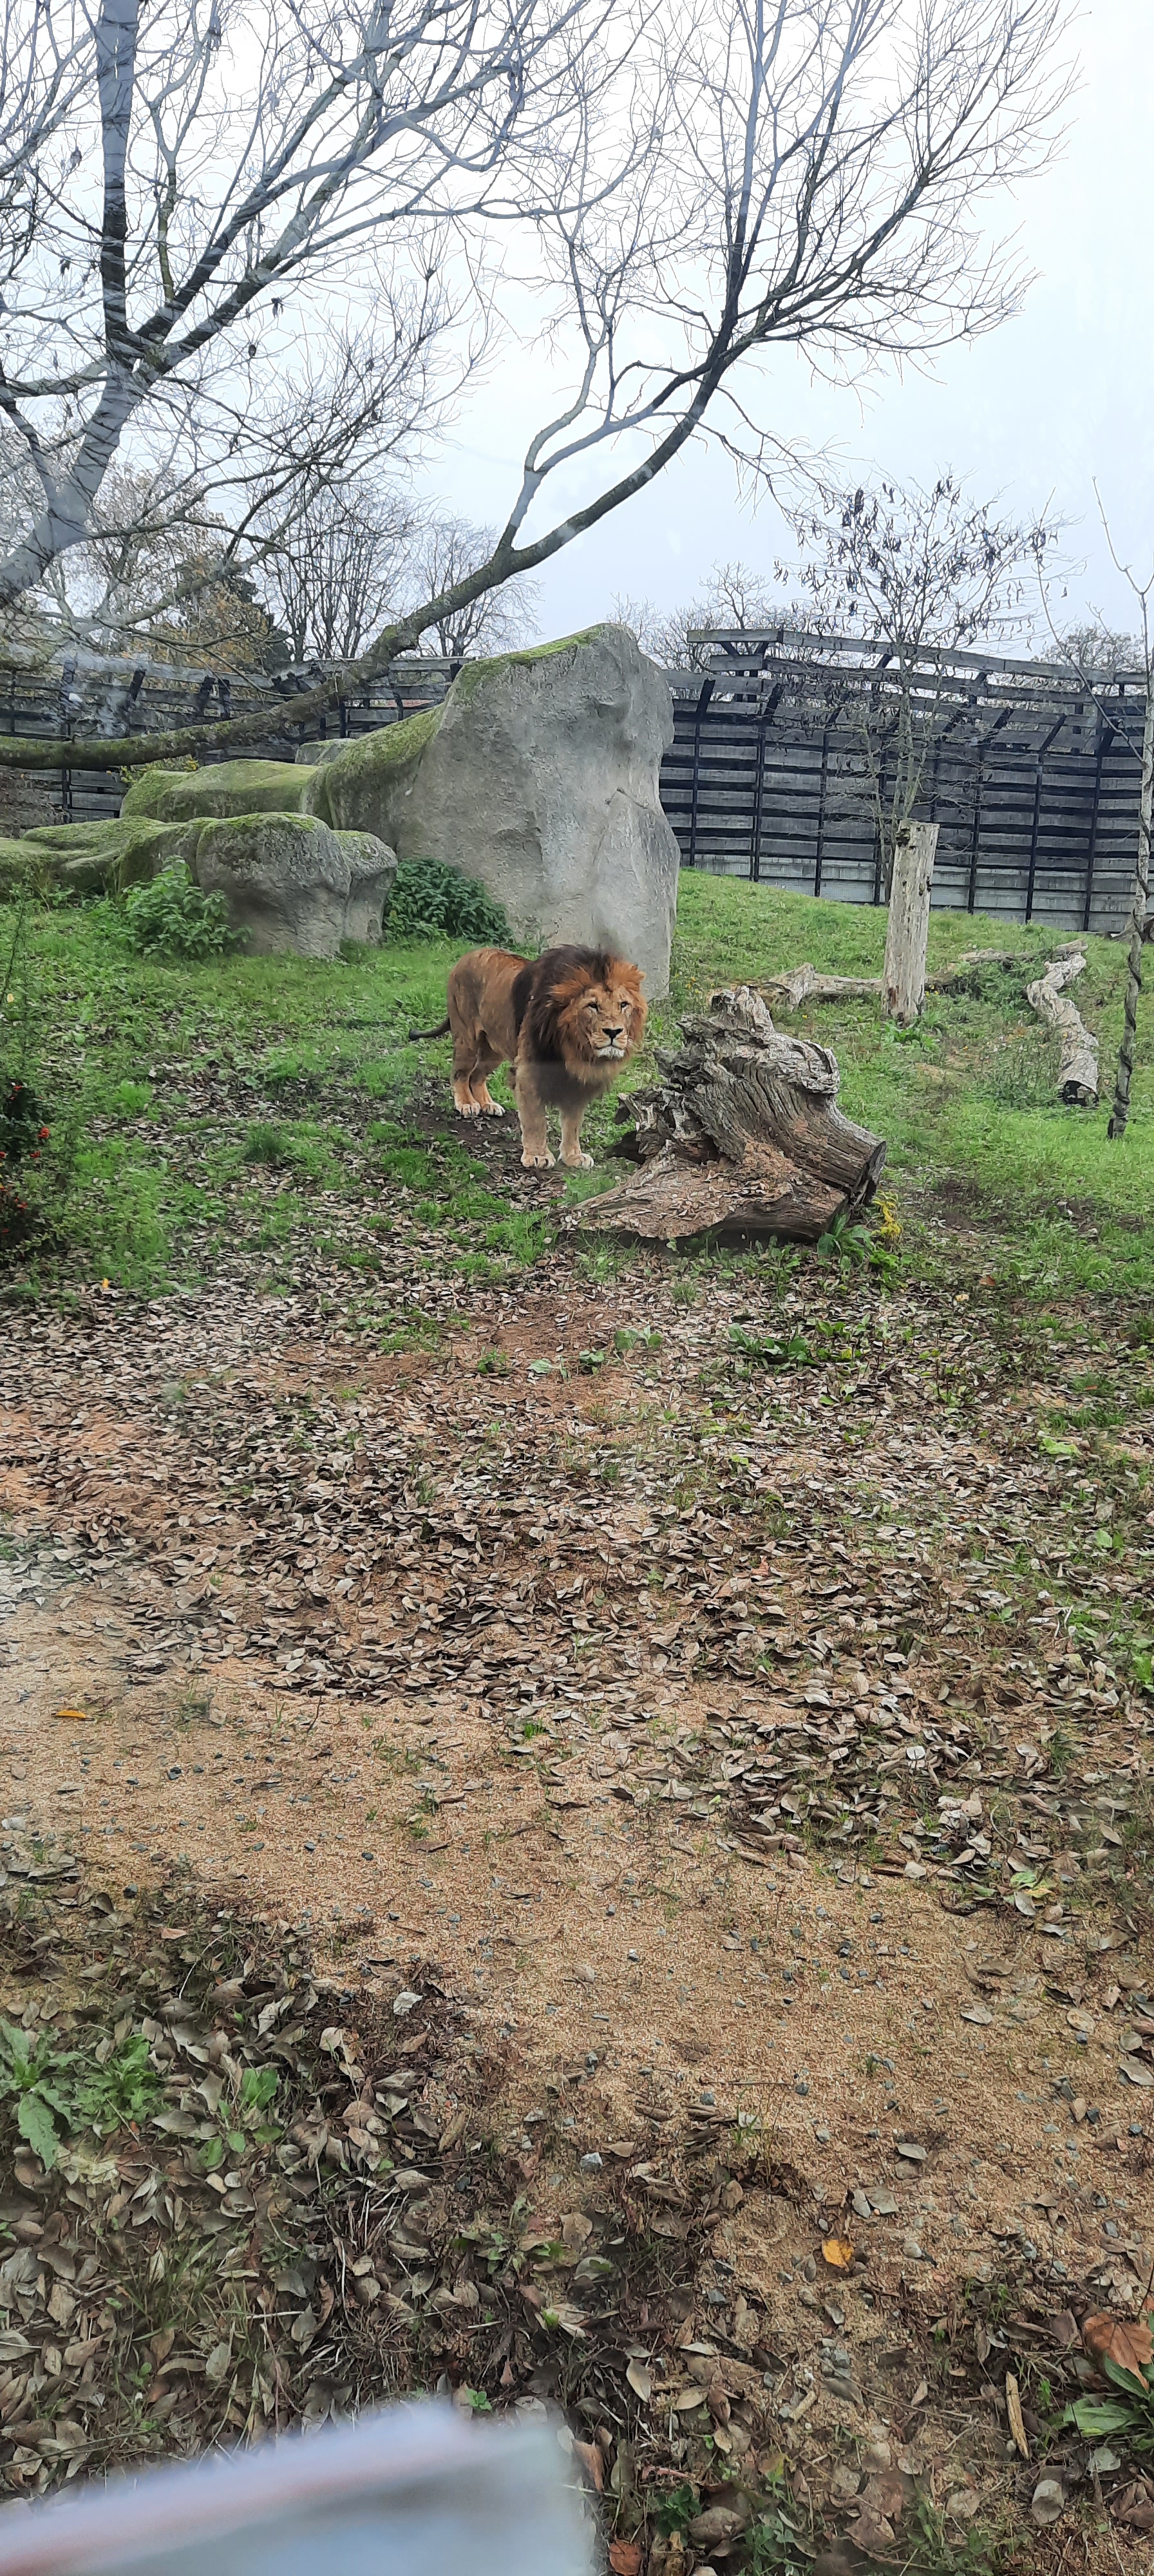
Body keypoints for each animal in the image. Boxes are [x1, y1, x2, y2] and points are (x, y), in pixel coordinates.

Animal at [410, 943, 647, 1168]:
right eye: (593, 1006)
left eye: (623, 1005)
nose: (614, 1032)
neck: (576, 1049)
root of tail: (464, 958)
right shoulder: (528, 1073)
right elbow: (536, 1120)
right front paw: (538, 1156)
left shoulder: (577, 1083)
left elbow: (573, 1124)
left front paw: (573, 1156)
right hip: (467, 1038)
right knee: (460, 1074)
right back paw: (467, 1104)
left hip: (494, 1049)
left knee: (477, 1075)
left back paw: (488, 1104)